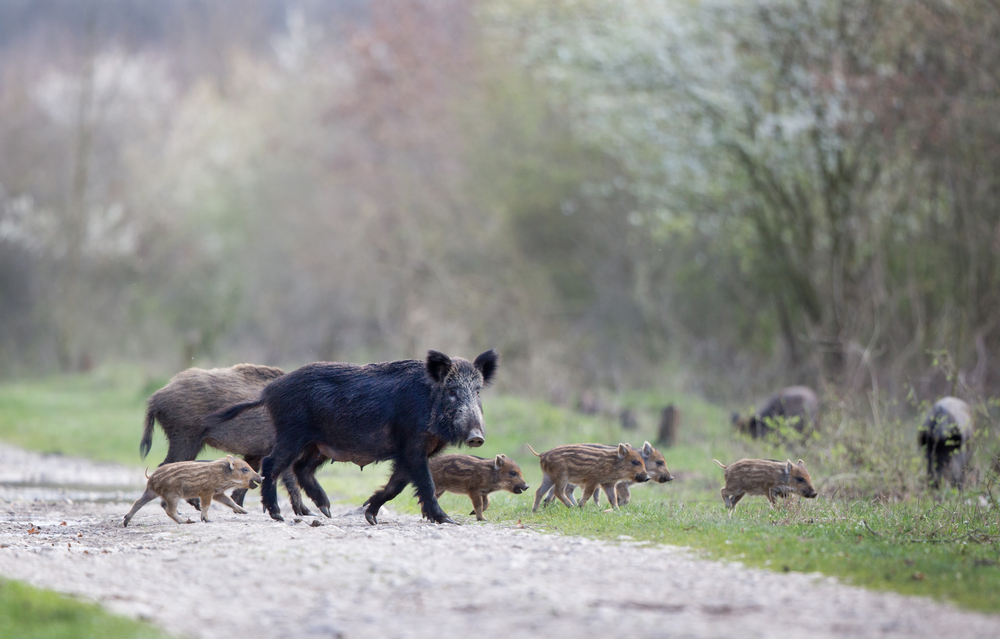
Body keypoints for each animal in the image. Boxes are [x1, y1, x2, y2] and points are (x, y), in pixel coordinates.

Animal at [122, 455, 263, 526]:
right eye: (245, 469)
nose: (262, 477)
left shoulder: (217, 493)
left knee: (137, 502)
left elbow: (229, 501)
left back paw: (126, 522)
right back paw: (185, 522)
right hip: (172, 495)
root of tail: (151, 477)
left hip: (151, 492)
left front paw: (244, 511)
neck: (223, 475)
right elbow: (206, 506)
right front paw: (206, 520)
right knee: (169, 510)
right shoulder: (207, 491)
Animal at [141, 364, 313, 516]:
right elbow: (289, 479)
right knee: (168, 465)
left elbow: (251, 475)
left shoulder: (256, 453)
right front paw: (307, 513)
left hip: (191, 442)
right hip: (183, 436)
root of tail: (154, 399)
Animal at [205, 349, 499, 524]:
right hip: (293, 434)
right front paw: (448, 520)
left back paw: (326, 511)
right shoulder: (413, 445)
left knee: (300, 469)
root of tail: (269, 391)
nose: (477, 437)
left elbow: (396, 485)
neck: (428, 402)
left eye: (477, 391)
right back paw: (278, 515)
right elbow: (424, 483)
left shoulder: (410, 452)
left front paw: (370, 516)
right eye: (452, 391)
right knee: (272, 464)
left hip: (317, 446)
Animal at [542, 441, 673, 507]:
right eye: (660, 462)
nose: (671, 477)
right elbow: (626, 497)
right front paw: (620, 506)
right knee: (565, 489)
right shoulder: (621, 483)